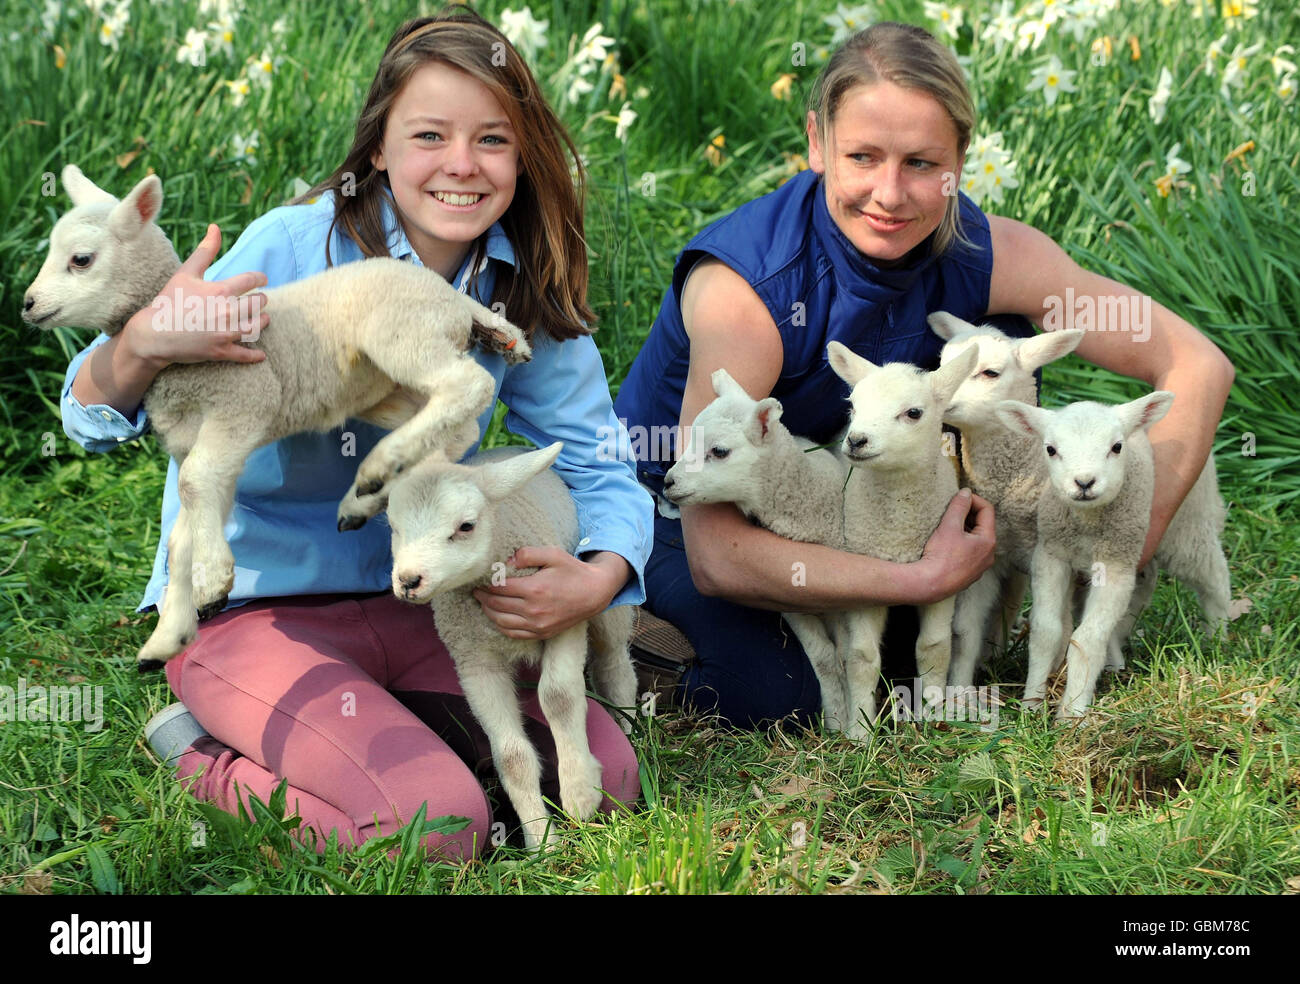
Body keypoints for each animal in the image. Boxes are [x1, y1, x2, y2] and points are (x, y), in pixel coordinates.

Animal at [24, 168, 527, 670]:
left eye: (81, 259)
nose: (27, 304)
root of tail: (451, 296)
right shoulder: (203, 441)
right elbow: (183, 526)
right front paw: (173, 632)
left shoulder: (242, 402)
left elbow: (192, 482)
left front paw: (212, 580)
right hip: (379, 387)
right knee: (456, 429)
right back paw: (367, 495)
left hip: (401, 332)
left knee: (469, 385)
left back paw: (380, 464)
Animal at [384, 441, 639, 847]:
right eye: (393, 527)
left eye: (466, 526)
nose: (408, 581)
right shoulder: (474, 661)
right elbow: (512, 756)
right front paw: (541, 842)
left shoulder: (565, 617)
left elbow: (559, 698)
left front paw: (580, 795)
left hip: (602, 600)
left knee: (614, 661)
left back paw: (629, 725)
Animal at [660, 371, 852, 733]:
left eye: (719, 451)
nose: (667, 482)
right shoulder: (787, 597)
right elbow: (823, 654)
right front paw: (836, 720)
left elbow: (844, 651)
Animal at [826, 340, 977, 733]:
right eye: (853, 405)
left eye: (913, 413)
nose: (856, 440)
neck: (898, 534)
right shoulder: (864, 577)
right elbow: (861, 657)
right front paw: (859, 732)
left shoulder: (945, 581)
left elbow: (934, 647)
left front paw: (932, 716)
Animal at [993, 387, 1227, 717]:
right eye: (1050, 449)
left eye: (1116, 447)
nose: (1084, 482)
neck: (1088, 523)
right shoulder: (1052, 556)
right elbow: (1046, 631)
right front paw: (1032, 705)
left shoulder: (1115, 564)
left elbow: (1087, 639)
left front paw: (1072, 713)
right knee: (1145, 584)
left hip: (1187, 525)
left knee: (1214, 577)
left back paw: (1217, 638)